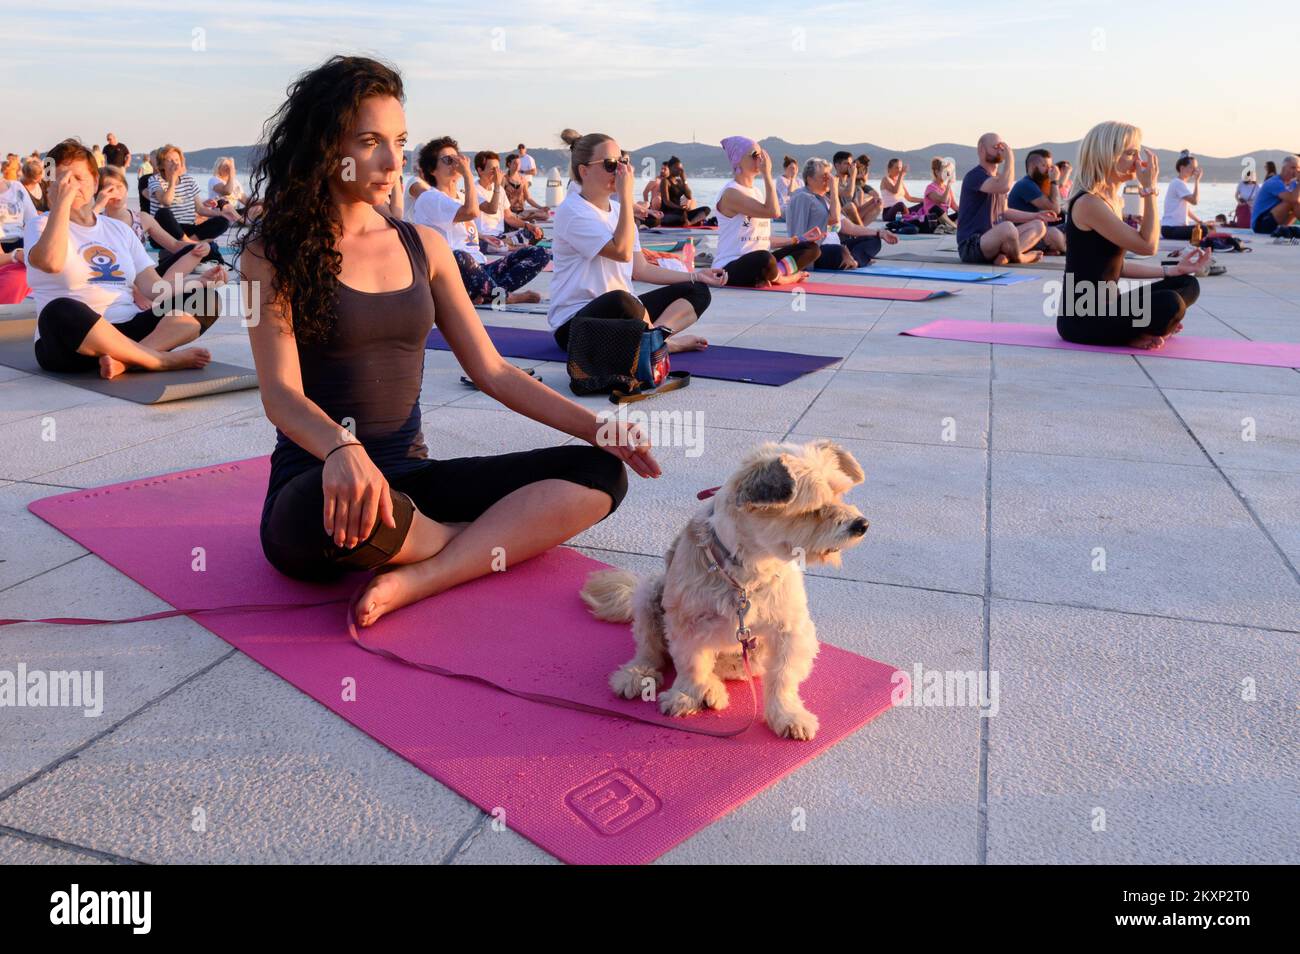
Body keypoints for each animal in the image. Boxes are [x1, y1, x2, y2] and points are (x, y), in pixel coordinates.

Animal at [582, 439, 868, 738]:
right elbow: (692, 663)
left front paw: (787, 714)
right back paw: (639, 674)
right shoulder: (686, 622)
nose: (861, 525)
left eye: (841, 493)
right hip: (650, 595)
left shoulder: (790, 628)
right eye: (812, 509)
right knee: (652, 650)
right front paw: (687, 695)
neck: (750, 570)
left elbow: (783, 676)